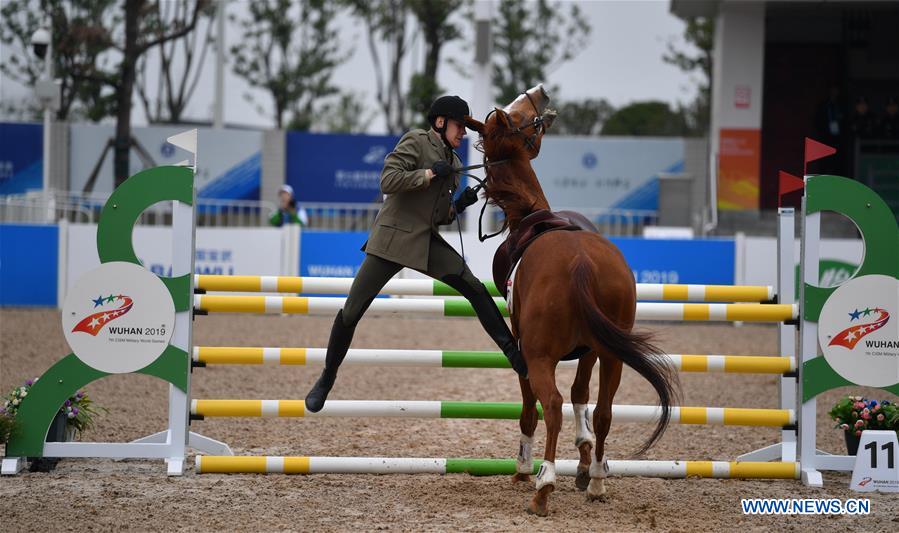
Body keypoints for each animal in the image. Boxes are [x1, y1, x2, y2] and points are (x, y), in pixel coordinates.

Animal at [464, 85, 684, 512]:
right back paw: (596, 479)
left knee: (551, 406)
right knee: (603, 412)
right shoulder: (590, 350)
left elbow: (531, 409)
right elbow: (583, 398)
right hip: (613, 355)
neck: (530, 214)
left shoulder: (523, 349)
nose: (540, 92)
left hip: (540, 356)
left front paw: (523, 468)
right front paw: (584, 464)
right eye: (518, 114)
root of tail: (580, 263)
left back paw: (544, 483)